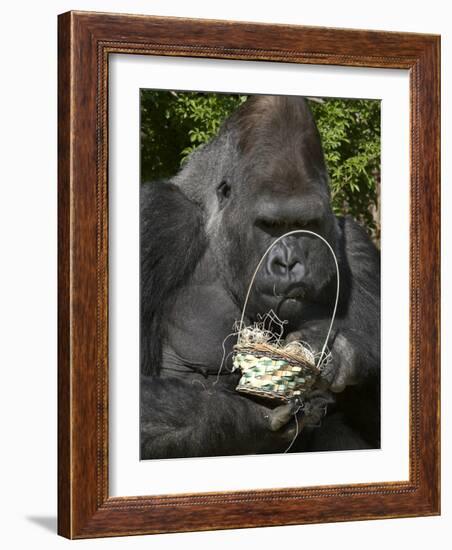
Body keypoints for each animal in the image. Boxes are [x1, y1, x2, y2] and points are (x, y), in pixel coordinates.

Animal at [139, 95, 380, 462]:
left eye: (305, 224)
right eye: (270, 225)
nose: (289, 262)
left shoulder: (358, 250)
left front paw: (345, 352)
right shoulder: (157, 219)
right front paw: (259, 416)